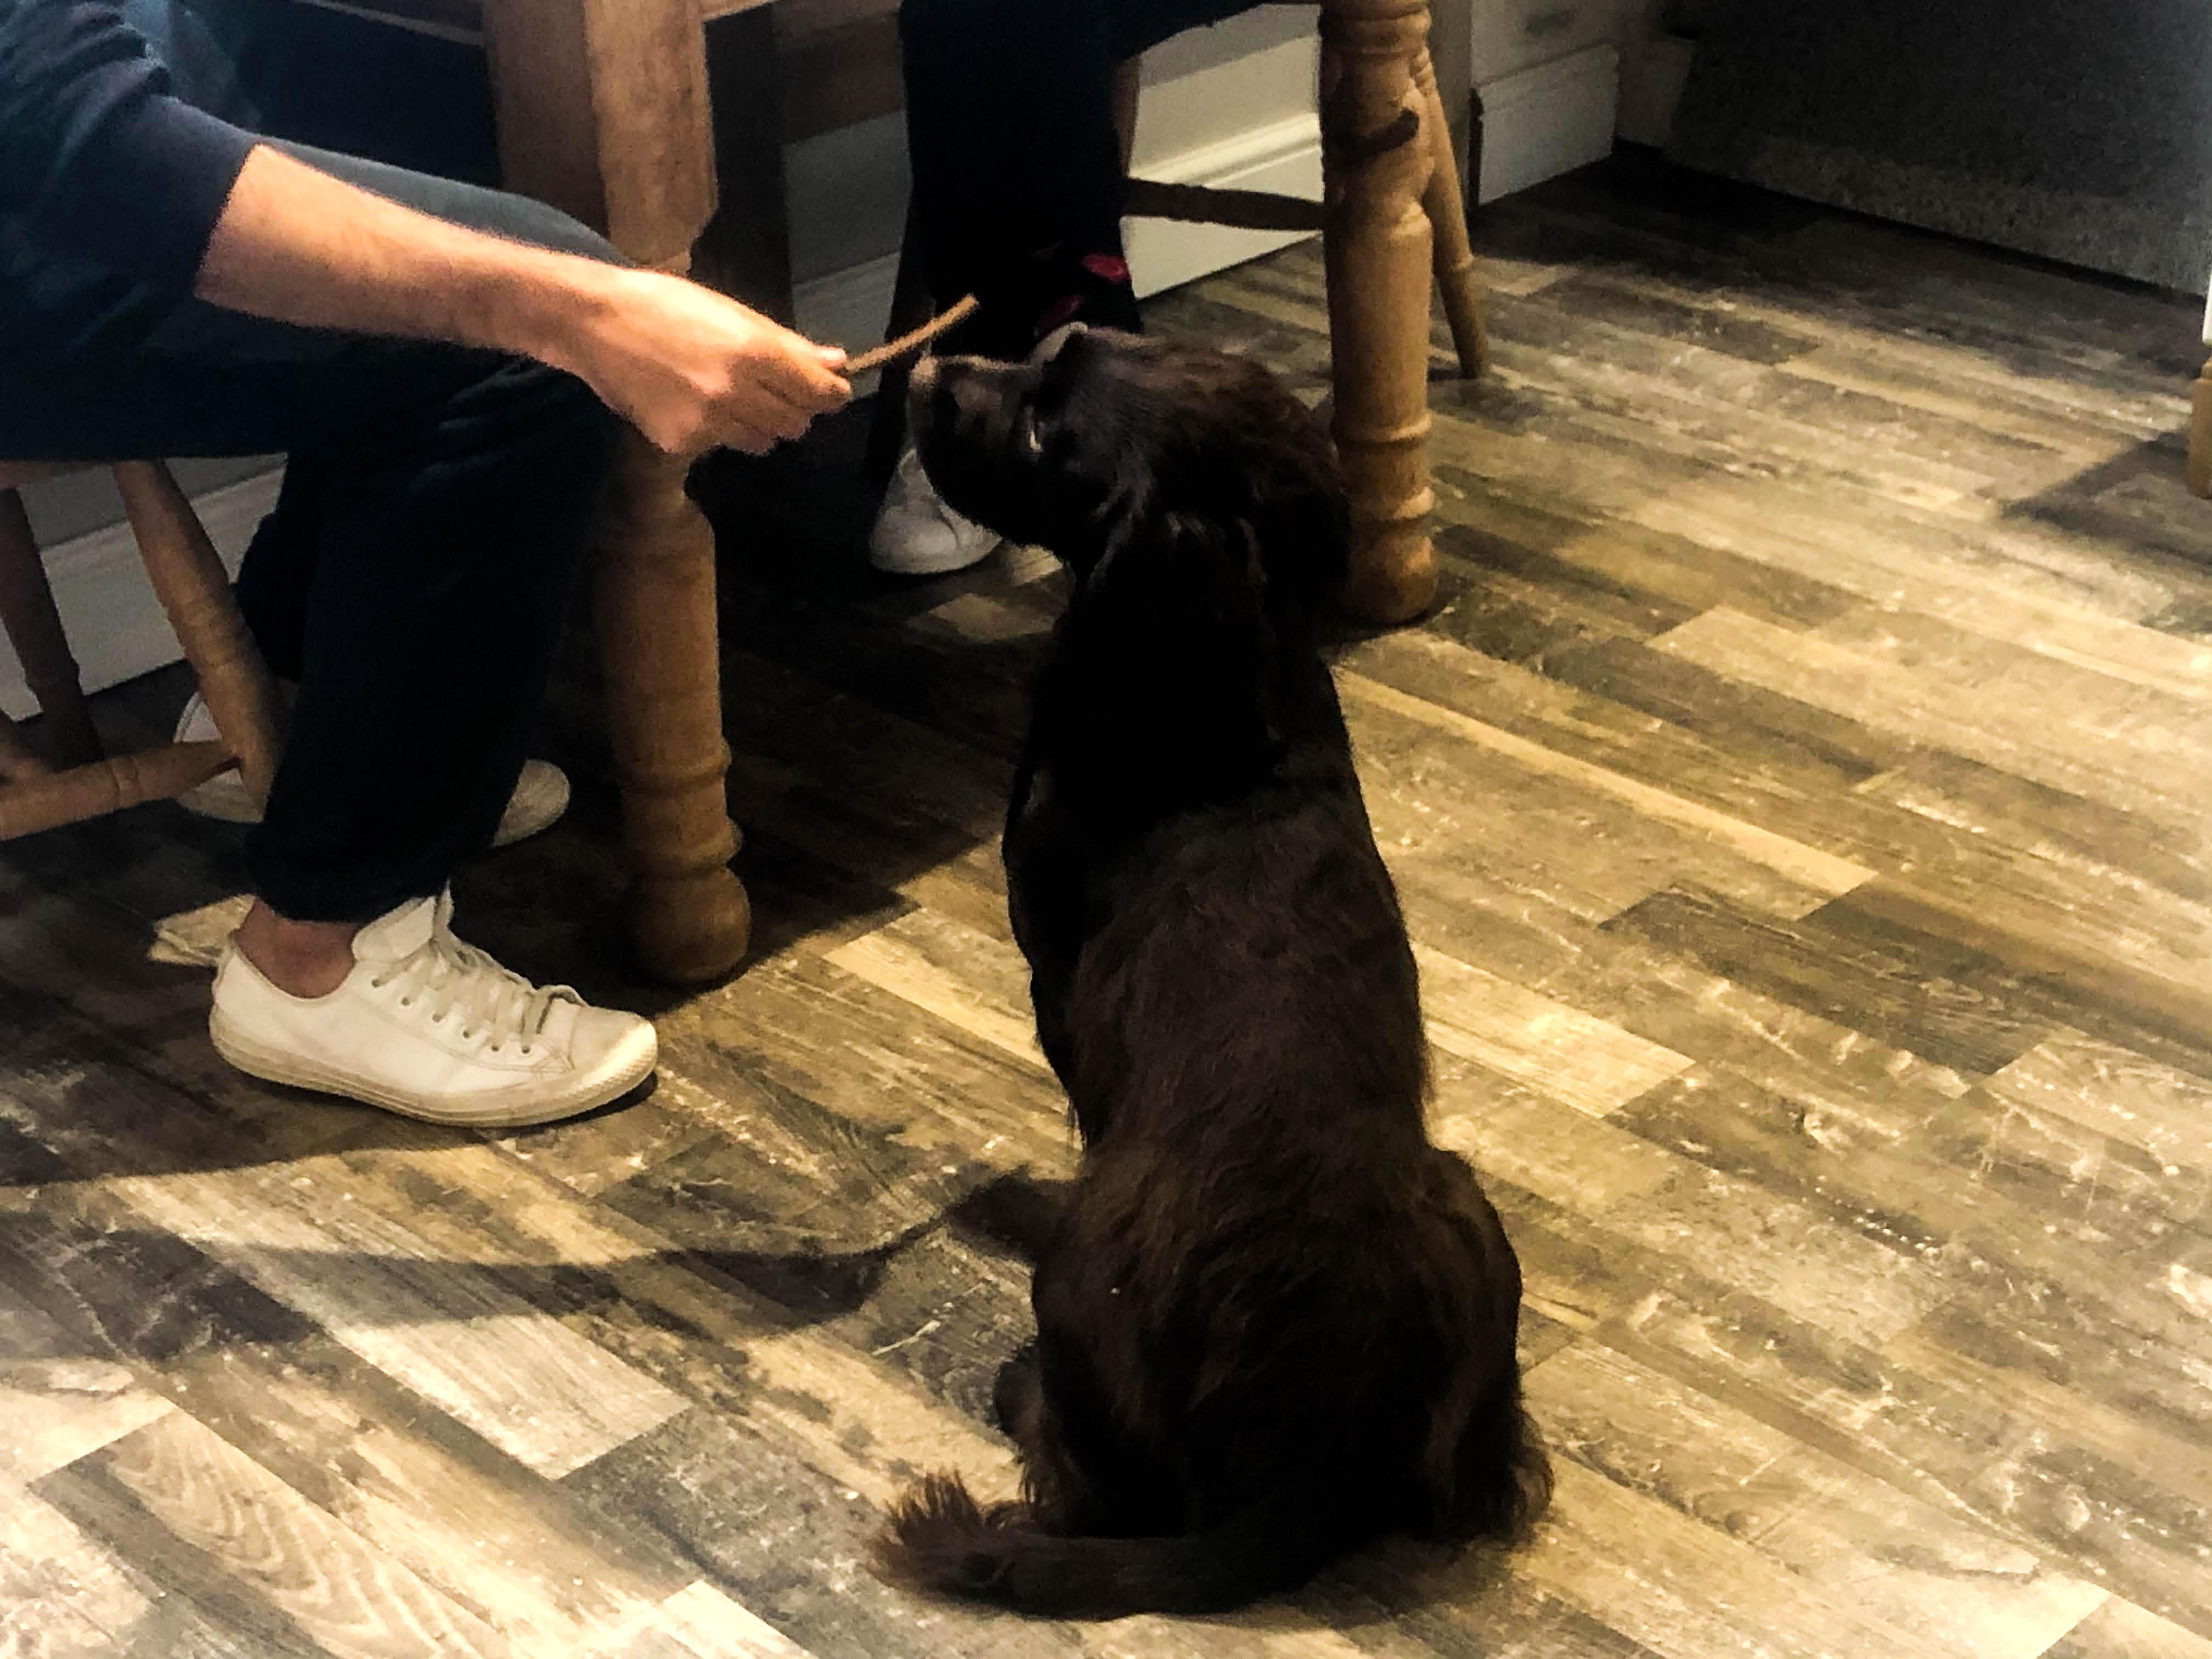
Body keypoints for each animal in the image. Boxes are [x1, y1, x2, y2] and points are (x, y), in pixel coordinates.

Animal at [871, 331, 1548, 1619]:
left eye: (1043, 432)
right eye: (1050, 345)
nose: (925, 373)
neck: (1229, 713)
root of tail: (1305, 1480)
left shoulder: (1053, 982)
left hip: (1075, 1282)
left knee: (1091, 1488)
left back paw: (1020, 1393)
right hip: (1469, 1208)